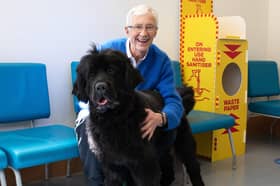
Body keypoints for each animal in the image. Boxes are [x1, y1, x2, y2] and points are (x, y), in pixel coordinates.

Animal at [72, 46, 203, 186]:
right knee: (168, 168)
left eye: (111, 70)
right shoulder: (112, 166)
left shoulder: (143, 164)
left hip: (184, 144)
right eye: (91, 74)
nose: (100, 87)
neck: (114, 119)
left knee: (193, 167)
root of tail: (179, 94)